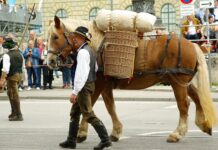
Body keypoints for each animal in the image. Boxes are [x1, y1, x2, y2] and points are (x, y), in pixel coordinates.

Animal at [46, 16, 217, 143]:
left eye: (55, 36)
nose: (50, 61)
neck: (98, 45)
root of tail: (192, 45)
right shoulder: (106, 85)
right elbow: (110, 107)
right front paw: (116, 131)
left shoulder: (98, 83)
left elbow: (88, 106)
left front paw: (81, 133)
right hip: (183, 82)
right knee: (197, 98)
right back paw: (203, 124)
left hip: (177, 83)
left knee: (184, 105)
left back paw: (177, 133)